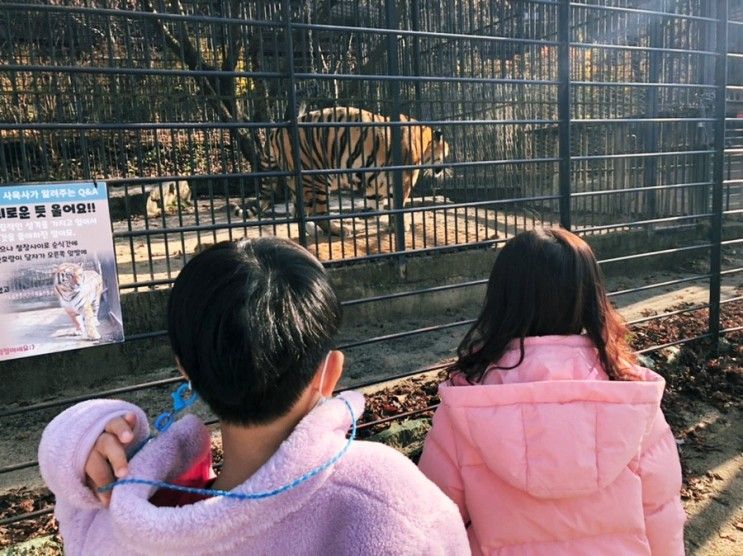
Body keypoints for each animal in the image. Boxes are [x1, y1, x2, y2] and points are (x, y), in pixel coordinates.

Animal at [247, 106, 450, 237]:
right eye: (446, 154)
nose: (444, 169)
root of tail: (276, 131)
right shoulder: (403, 178)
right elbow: (396, 204)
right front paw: (400, 226)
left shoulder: (376, 178)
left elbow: (375, 201)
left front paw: (368, 214)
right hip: (317, 177)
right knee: (317, 213)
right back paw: (339, 231)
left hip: (298, 182)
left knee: (298, 212)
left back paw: (313, 232)